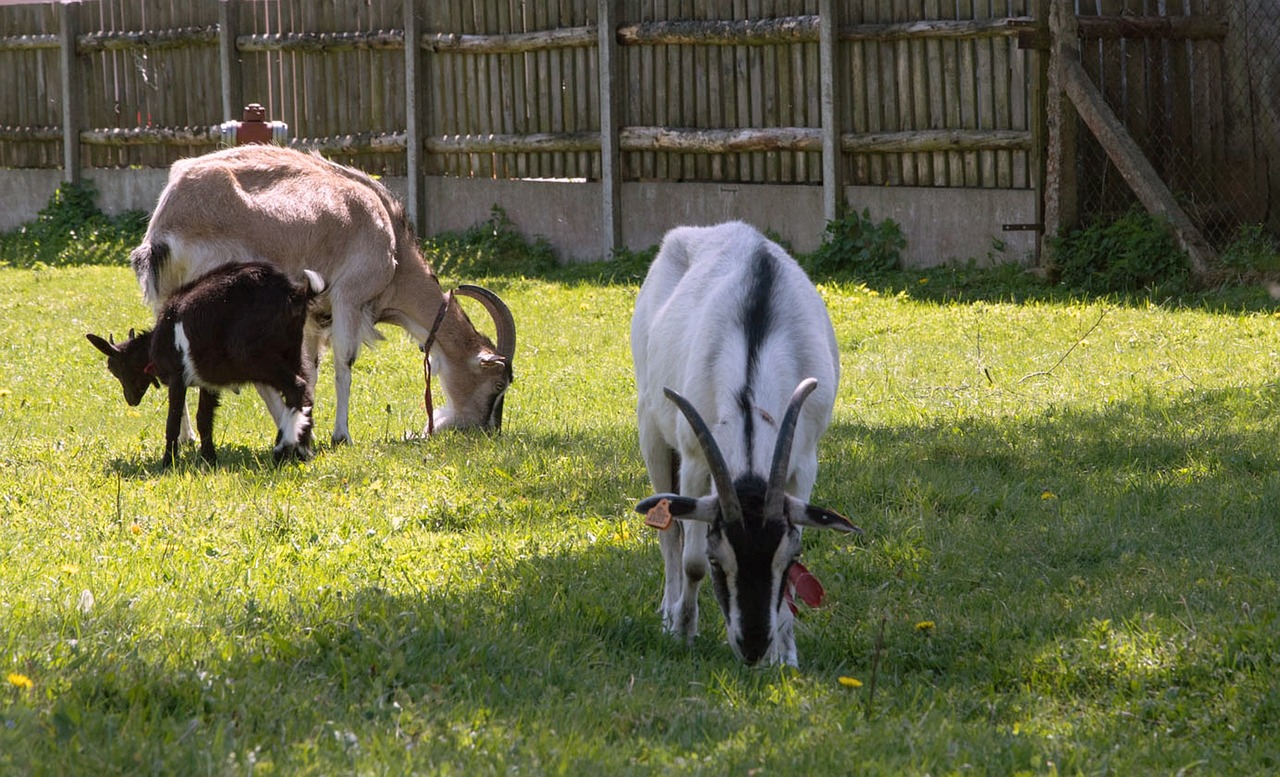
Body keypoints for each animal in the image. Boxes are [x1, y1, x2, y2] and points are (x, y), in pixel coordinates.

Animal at [88, 261, 325, 468]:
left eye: (114, 368)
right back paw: (302, 451)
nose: (131, 400)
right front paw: (209, 459)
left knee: (297, 387)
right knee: (306, 392)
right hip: (293, 351)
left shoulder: (177, 376)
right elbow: (204, 418)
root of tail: (294, 294)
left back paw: (282, 449)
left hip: (253, 356)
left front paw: (168, 463)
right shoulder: (209, 381)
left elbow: (173, 421)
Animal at [127, 143, 512, 448]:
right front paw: (341, 435)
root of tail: (169, 218)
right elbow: (344, 364)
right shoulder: (347, 298)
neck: (391, 239)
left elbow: (310, 370)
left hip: (169, 300)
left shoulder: (314, 317)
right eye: (497, 385)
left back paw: (187, 437)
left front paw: (309, 421)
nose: (483, 430)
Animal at [629, 221, 860, 665]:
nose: (752, 648)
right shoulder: (694, 458)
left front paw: (785, 656)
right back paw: (668, 612)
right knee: (668, 532)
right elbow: (691, 559)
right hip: (651, 429)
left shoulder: (804, 462)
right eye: (719, 560)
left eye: (790, 558)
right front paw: (683, 631)